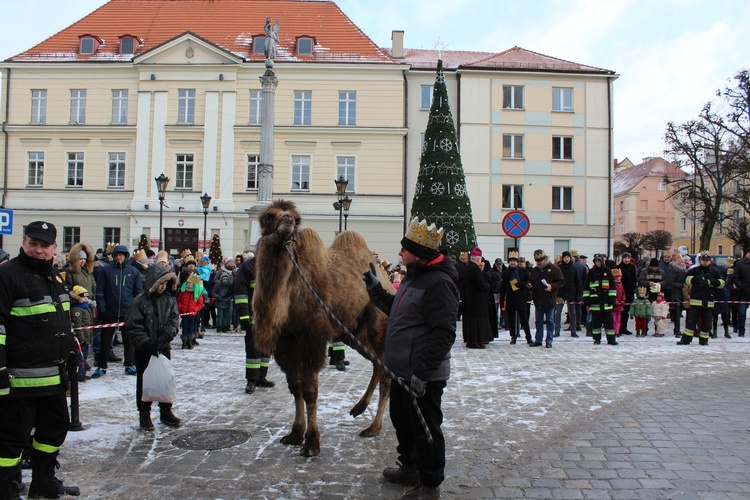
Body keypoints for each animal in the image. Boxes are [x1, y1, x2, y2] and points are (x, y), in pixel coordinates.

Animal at [253, 199, 394, 458]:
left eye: (297, 219)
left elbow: (310, 390)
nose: (287, 221)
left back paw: (374, 427)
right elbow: (294, 387)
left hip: (376, 325)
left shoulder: (311, 337)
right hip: (352, 332)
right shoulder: (286, 340)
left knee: (386, 371)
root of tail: (388, 281)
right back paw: (359, 408)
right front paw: (294, 434)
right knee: (377, 365)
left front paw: (311, 443)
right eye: (269, 217)